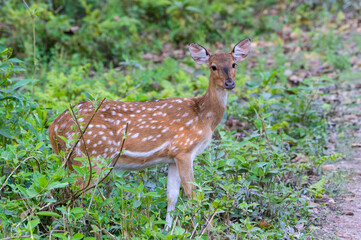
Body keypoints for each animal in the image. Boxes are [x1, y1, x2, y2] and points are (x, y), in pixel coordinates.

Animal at [47, 38, 250, 229]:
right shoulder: (184, 149)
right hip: (91, 156)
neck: (202, 116)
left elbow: (172, 196)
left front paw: (168, 229)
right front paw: (204, 228)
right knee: (78, 195)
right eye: (213, 66)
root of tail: (53, 127)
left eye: (234, 64)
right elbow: (192, 194)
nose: (229, 83)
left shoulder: (173, 157)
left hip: (72, 160)